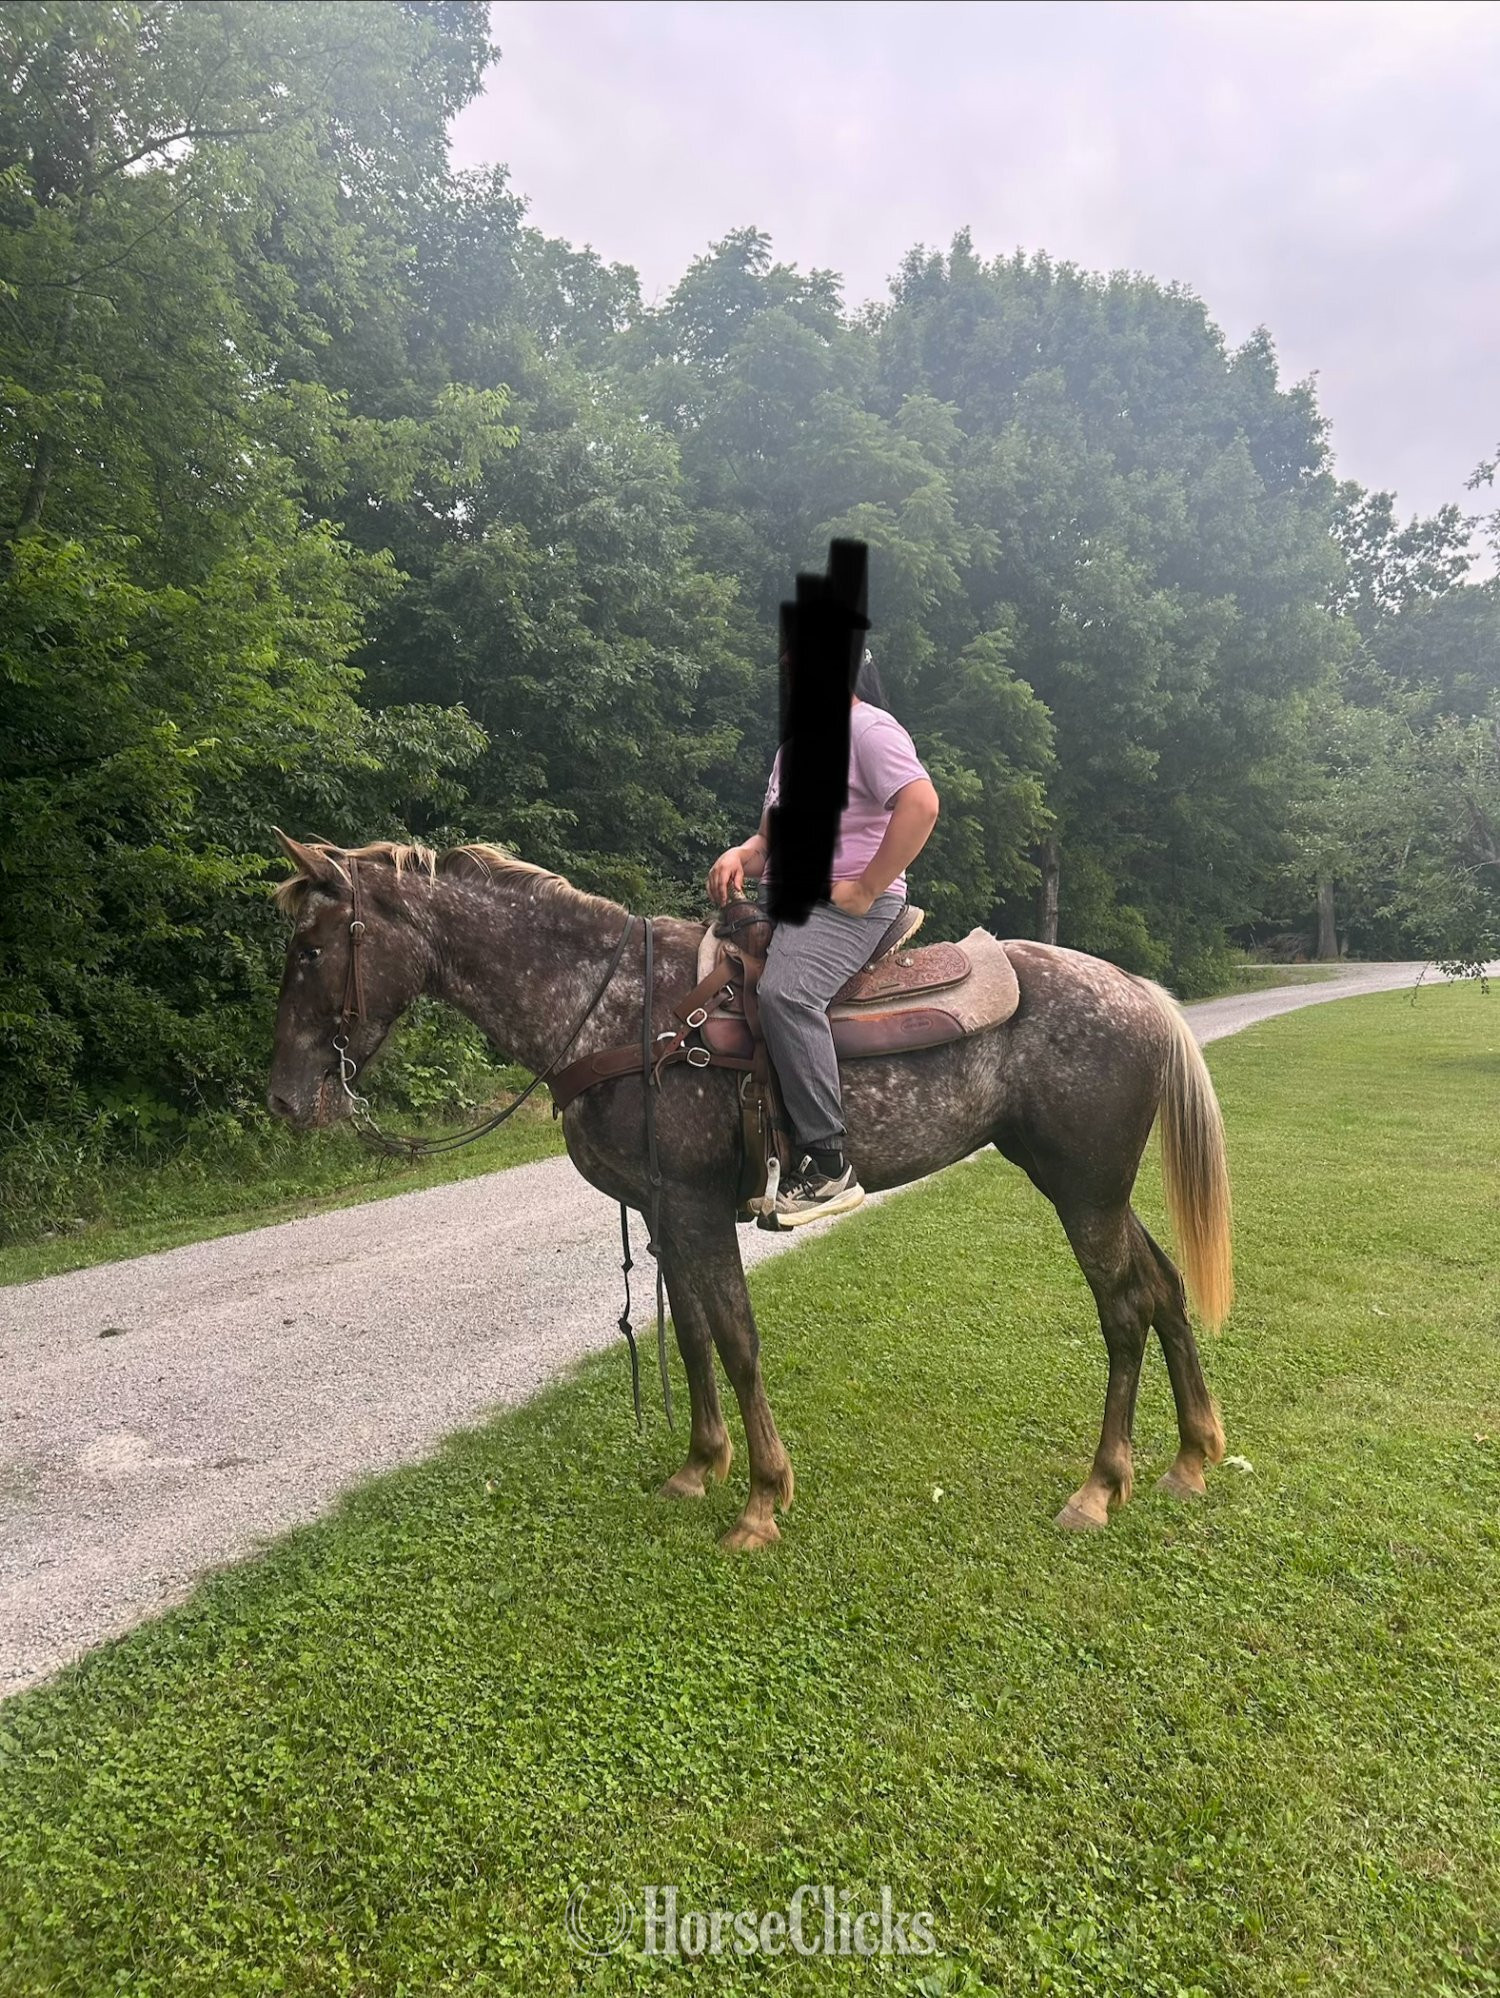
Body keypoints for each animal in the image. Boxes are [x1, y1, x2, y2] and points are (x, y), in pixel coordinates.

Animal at [266, 832, 1233, 1553]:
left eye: (310, 950)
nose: (284, 1098)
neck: (622, 1014)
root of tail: (1135, 989)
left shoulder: (698, 1207)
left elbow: (736, 1341)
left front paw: (764, 1501)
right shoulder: (665, 1213)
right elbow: (694, 1337)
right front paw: (700, 1468)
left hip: (1081, 1191)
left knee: (1122, 1308)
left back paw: (1100, 1487)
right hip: (1090, 1187)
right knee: (1163, 1287)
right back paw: (1191, 1458)